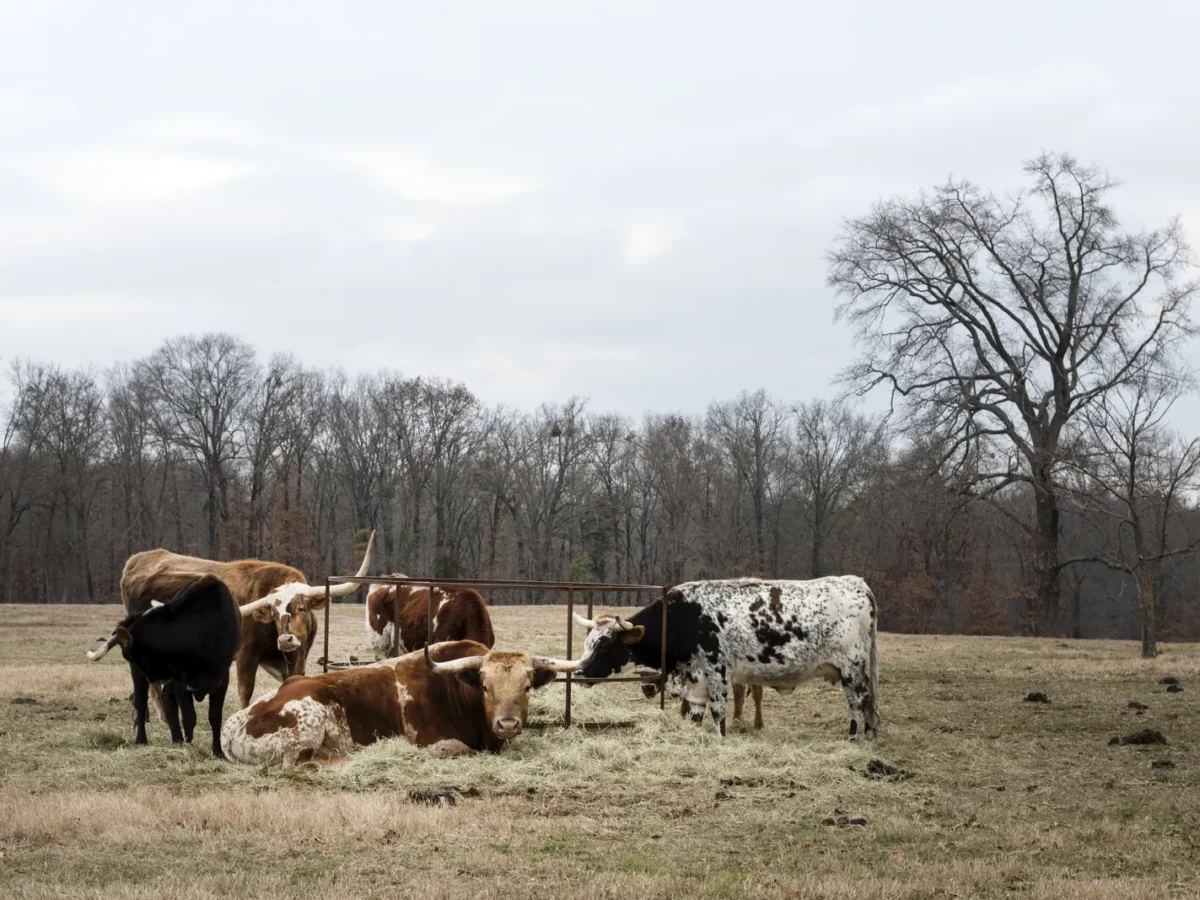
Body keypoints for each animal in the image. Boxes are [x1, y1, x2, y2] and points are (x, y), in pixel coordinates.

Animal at [87, 575, 241, 757]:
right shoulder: (181, 680)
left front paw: (217, 751)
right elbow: (189, 716)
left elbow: (215, 717)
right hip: (142, 676)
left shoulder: (222, 678)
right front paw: (189, 747)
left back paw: (177, 739)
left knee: (167, 699)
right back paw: (142, 739)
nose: (151, 676)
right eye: (128, 654)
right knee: (141, 701)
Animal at [103, 531, 376, 709]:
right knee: (151, 685)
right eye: (273, 613)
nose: (286, 639)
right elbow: (246, 691)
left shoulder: (297, 658)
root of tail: (137, 561)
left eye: (301, 607)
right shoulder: (246, 656)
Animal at [220, 639, 595, 766]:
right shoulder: (434, 744)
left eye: (527, 686)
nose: (506, 724)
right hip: (306, 726)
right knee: (299, 764)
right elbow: (461, 750)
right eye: (485, 687)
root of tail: (229, 728)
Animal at [574, 575, 879, 739]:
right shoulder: (695, 679)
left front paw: (720, 737)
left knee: (857, 704)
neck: (683, 618)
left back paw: (854, 737)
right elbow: (696, 713)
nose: (578, 674)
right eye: (588, 643)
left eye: (604, 646)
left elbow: (718, 710)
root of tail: (857, 583)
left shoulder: (716, 670)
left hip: (852, 669)